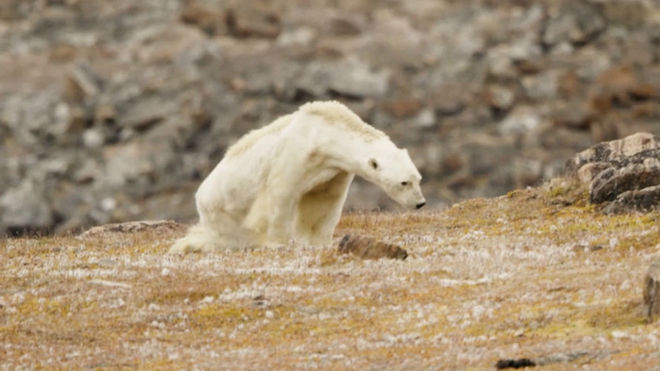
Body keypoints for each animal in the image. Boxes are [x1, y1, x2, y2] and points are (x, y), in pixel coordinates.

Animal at [170, 100, 426, 254]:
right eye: (404, 182)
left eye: (418, 178)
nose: (420, 203)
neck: (325, 134)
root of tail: (199, 195)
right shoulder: (296, 154)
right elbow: (281, 194)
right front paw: (278, 242)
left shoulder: (334, 170)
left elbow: (323, 201)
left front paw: (318, 241)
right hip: (223, 212)